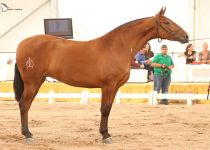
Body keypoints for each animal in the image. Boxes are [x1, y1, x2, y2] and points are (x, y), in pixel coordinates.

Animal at [13, 7, 189, 144]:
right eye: (166, 22)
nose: (186, 36)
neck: (116, 47)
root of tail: (21, 44)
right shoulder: (108, 86)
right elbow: (104, 109)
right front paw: (105, 136)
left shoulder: (115, 87)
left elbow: (108, 109)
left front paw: (106, 133)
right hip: (33, 82)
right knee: (24, 105)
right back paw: (27, 135)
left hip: (38, 81)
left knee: (26, 105)